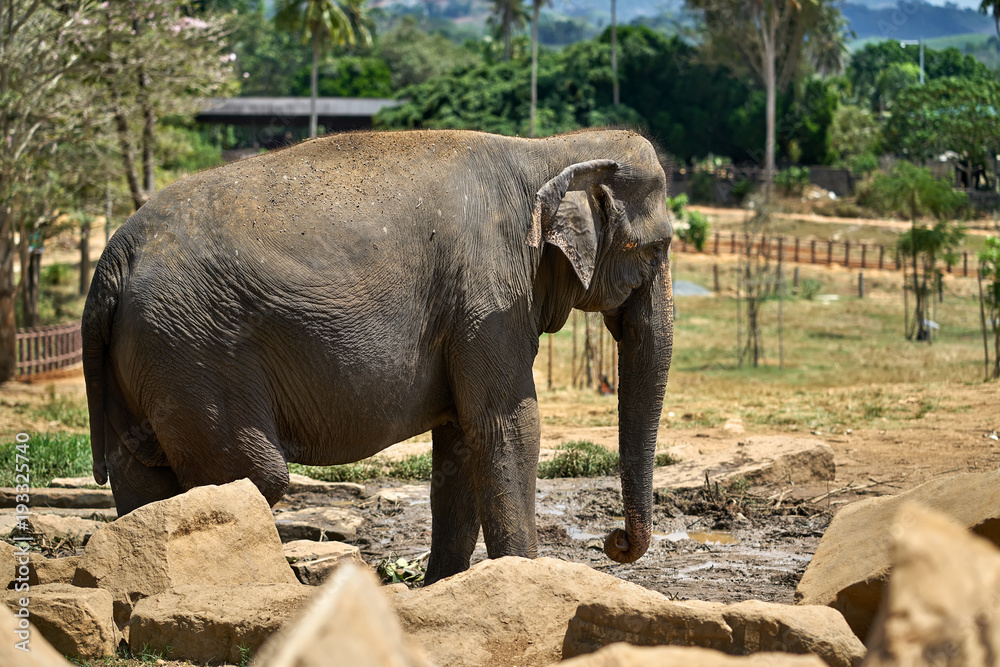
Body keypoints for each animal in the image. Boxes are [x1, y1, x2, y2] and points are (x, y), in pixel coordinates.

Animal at [82, 128, 673, 584]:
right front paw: (526, 579)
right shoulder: (489, 296)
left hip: (147, 357)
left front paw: (442, 588)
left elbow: (460, 441)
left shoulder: (468, 314)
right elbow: (507, 426)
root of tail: (115, 254)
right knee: (252, 476)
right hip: (194, 352)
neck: (549, 150)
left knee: (143, 477)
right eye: (658, 247)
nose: (615, 541)